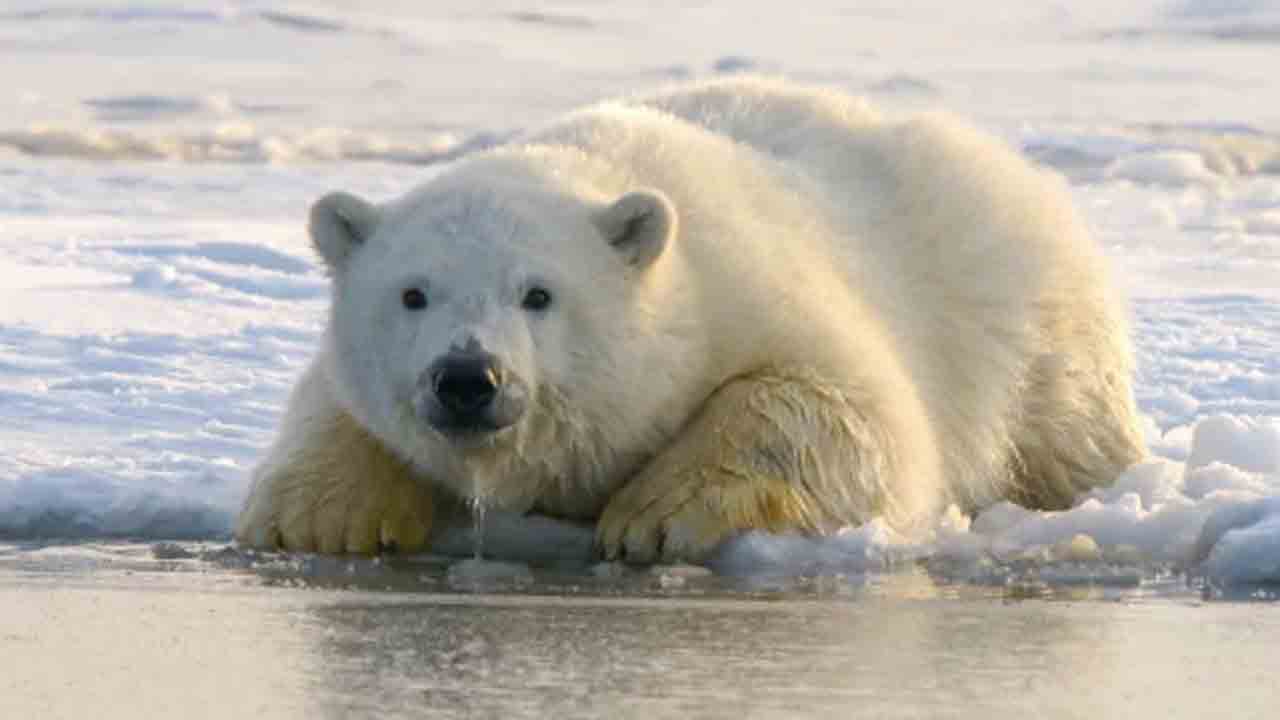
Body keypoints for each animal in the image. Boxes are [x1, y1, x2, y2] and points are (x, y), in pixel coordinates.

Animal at [235, 76, 1146, 563]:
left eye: (538, 294)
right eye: (413, 293)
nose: (467, 379)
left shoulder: (753, 291)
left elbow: (848, 410)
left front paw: (652, 518)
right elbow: (330, 403)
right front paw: (322, 518)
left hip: (1028, 319)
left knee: (1068, 428)